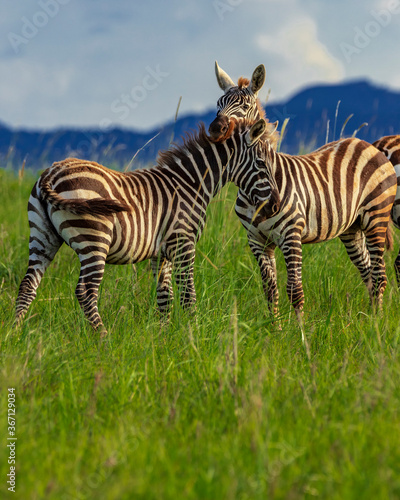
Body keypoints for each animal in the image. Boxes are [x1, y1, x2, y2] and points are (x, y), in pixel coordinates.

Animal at [16, 119, 278, 334]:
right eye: (261, 164)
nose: (275, 206)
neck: (190, 184)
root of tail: (50, 174)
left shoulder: (161, 252)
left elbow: (165, 296)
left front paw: (164, 338)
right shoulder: (183, 242)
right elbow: (187, 294)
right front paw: (194, 335)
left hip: (42, 237)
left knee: (28, 284)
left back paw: (15, 334)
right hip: (94, 240)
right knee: (86, 292)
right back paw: (103, 338)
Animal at [208, 62, 396, 320]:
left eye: (244, 106)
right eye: (218, 104)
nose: (216, 129)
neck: (252, 191)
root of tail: (368, 144)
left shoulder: (291, 235)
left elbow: (294, 289)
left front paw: (300, 330)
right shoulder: (257, 240)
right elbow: (270, 289)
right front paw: (274, 327)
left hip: (376, 217)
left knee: (379, 276)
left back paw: (377, 323)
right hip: (352, 228)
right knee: (368, 272)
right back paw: (370, 318)